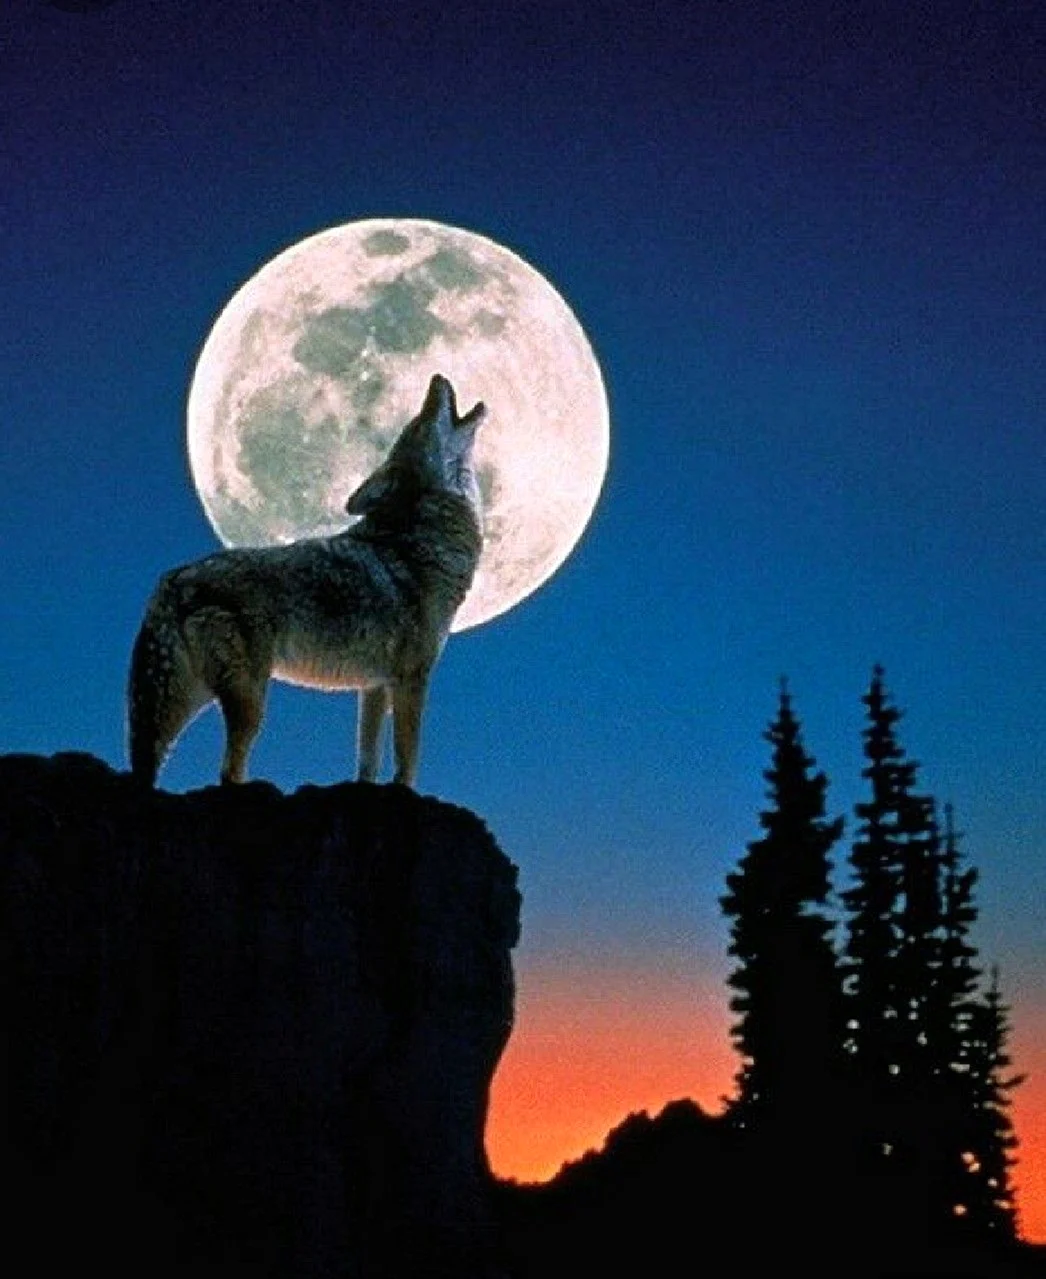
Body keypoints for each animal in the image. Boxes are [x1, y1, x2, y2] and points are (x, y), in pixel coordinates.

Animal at [127, 373, 485, 789]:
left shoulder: (374, 686)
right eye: (419, 423)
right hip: (249, 700)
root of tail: (173, 579)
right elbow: (407, 757)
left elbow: (368, 758)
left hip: (189, 700)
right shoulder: (412, 678)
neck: (421, 537)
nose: (436, 378)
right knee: (228, 770)